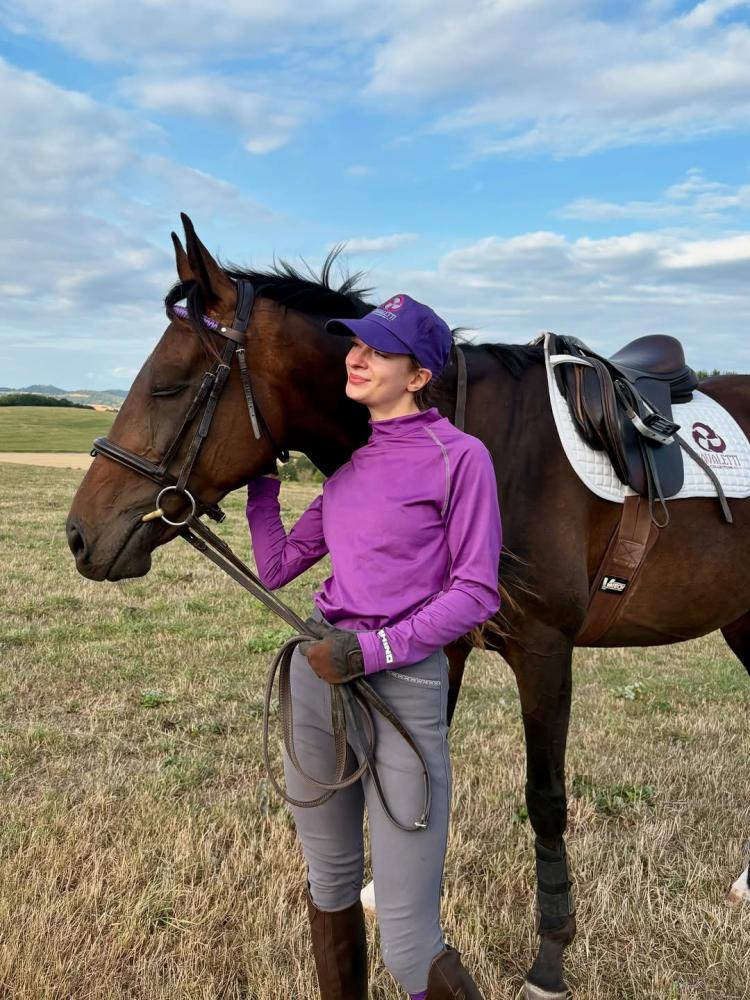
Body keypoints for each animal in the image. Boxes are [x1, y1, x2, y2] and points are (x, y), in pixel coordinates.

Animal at [66, 215, 750, 999]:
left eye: (169, 386)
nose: (79, 535)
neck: (488, 440)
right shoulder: (440, 644)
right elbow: (413, 755)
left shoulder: (545, 651)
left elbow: (545, 798)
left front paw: (549, 959)